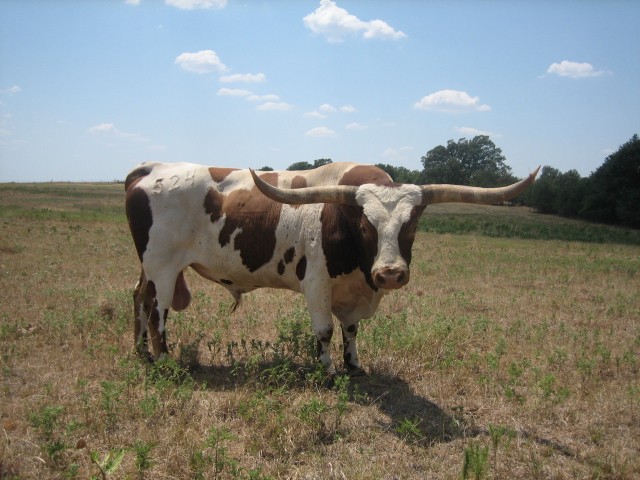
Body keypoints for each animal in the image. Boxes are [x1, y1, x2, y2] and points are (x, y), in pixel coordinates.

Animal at [125, 161, 539, 375]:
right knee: (158, 311)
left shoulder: (354, 293)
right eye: (365, 224)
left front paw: (353, 363)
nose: (390, 273)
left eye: (412, 225)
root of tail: (150, 169)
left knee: (139, 298)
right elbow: (324, 331)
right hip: (163, 267)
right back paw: (164, 360)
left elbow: (351, 330)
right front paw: (327, 369)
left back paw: (141, 353)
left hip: (149, 267)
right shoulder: (317, 286)